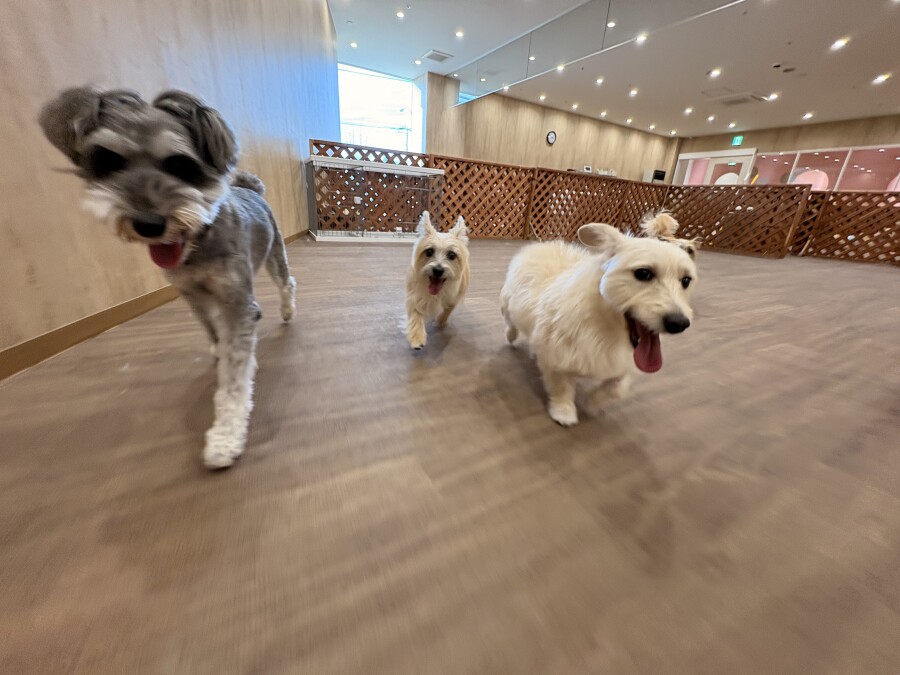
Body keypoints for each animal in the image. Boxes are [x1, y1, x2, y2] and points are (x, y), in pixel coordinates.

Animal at [39, 86, 296, 469]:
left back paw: (287, 311)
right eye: (108, 161)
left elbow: (234, 379)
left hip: (274, 255)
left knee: (285, 284)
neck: (197, 242)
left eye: (181, 165)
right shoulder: (193, 296)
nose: (148, 223)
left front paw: (225, 437)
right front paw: (219, 350)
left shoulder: (234, 298)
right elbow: (215, 332)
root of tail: (248, 187)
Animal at [405, 211, 470, 349]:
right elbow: (415, 314)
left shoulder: (453, 297)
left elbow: (447, 309)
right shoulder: (415, 295)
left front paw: (440, 320)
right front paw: (417, 338)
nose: (438, 270)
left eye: (452, 255)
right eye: (429, 252)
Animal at [499, 214, 698, 426]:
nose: (679, 323)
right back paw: (512, 337)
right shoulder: (556, 356)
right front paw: (564, 411)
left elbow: (616, 388)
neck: (607, 328)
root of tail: (542, 245)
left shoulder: (623, 364)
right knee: (511, 325)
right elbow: (561, 386)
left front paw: (591, 402)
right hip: (508, 306)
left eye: (686, 280)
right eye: (643, 273)